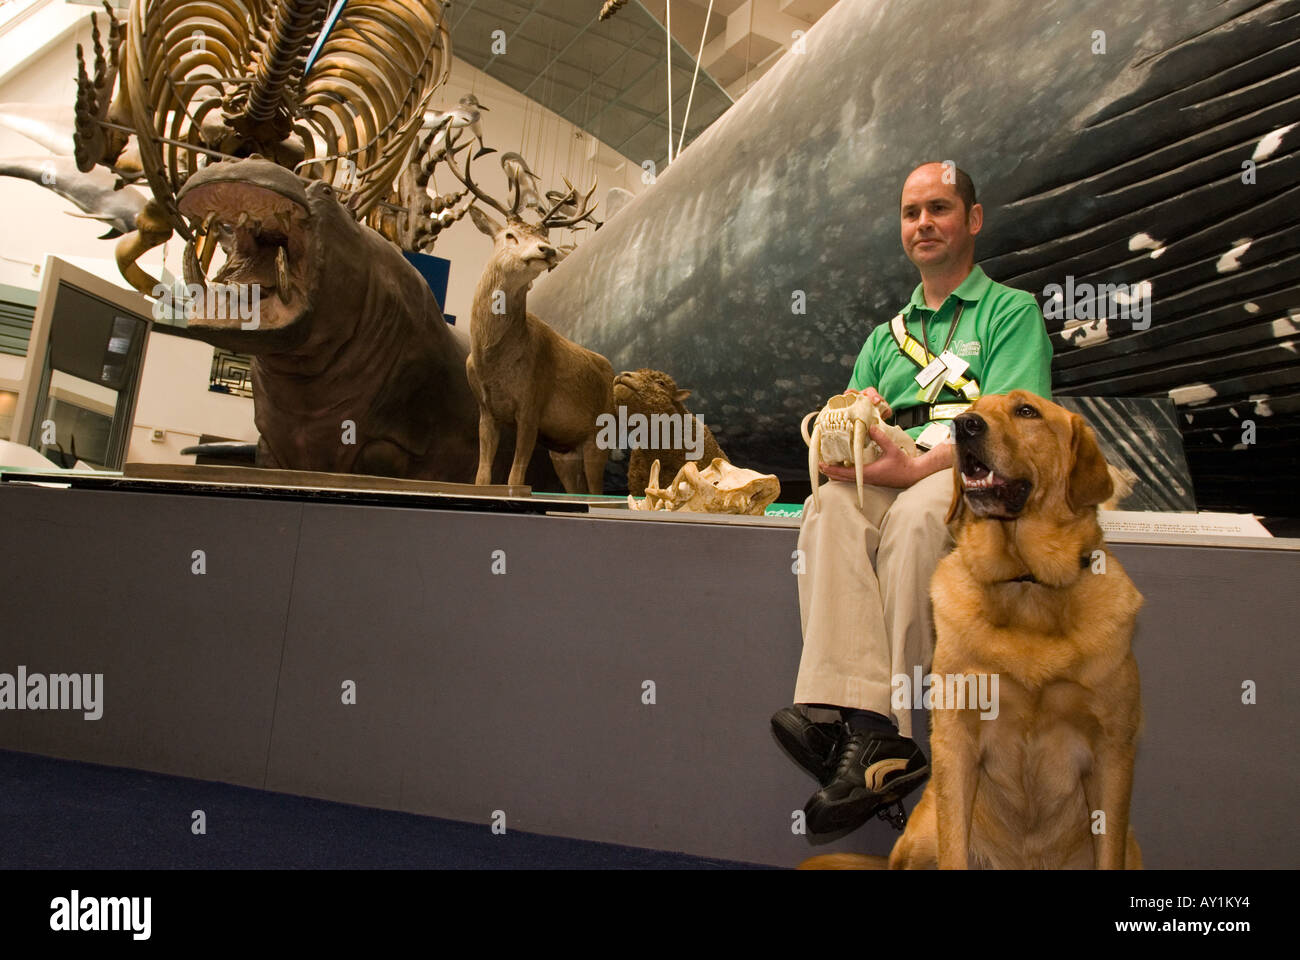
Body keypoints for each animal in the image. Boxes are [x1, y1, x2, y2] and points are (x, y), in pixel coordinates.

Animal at [800, 390, 1149, 868]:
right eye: (976, 409)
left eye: (1027, 411)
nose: (963, 424)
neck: (1025, 585)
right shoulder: (956, 742)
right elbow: (955, 846)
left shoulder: (1114, 753)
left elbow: (1107, 846)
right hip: (921, 834)